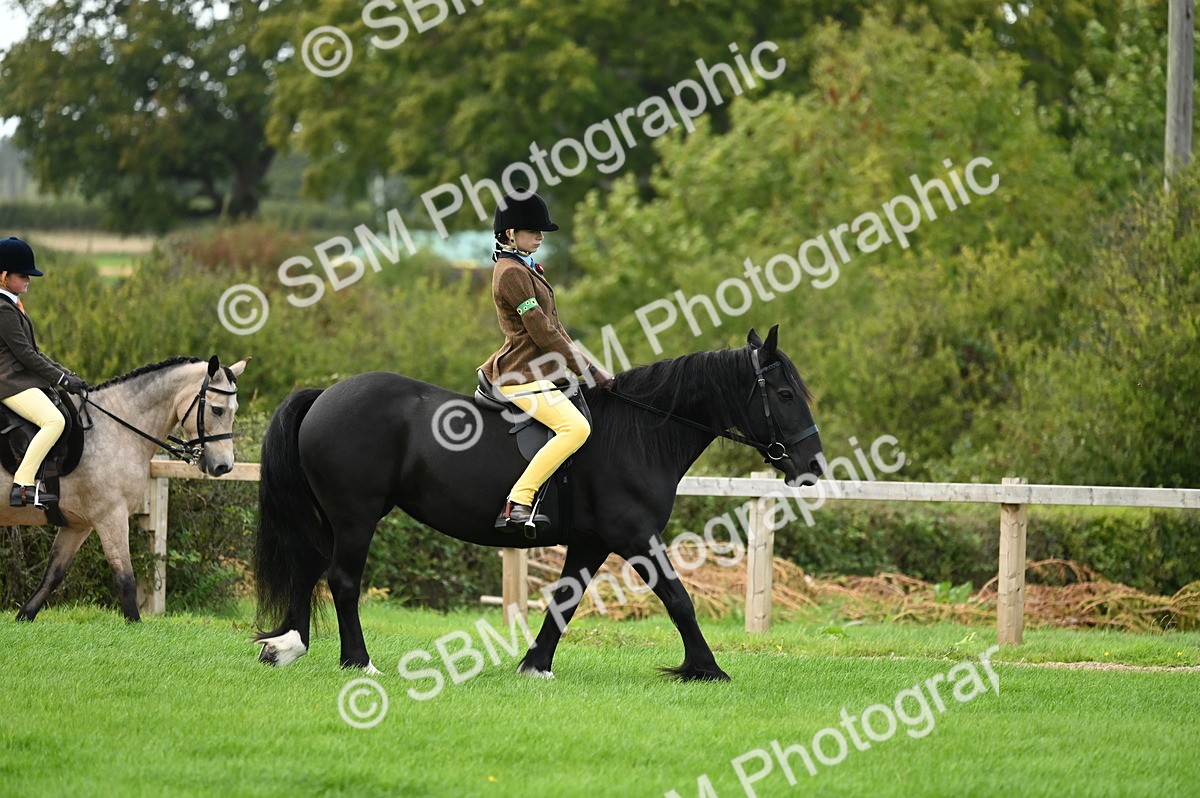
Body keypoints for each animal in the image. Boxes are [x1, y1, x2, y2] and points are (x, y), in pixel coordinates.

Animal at [12, 355, 248, 623]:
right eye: (217, 410)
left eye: (235, 409)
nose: (224, 466)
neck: (116, 426)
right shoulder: (111, 516)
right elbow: (125, 578)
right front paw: (135, 625)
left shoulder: (78, 524)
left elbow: (53, 575)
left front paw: (23, 618)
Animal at [253, 325, 822, 680]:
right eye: (785, 395)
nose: (812, 467)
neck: (640, 433)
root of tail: (326, 395)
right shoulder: (634, 535)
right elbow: (678, 598)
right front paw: (707, 669)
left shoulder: (592, 542)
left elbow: (564, 601)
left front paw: (535, 665)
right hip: (356, 515)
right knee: (342, 580)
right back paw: (358, 661)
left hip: (332, 517)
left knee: (308, 566)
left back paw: (286, 646)